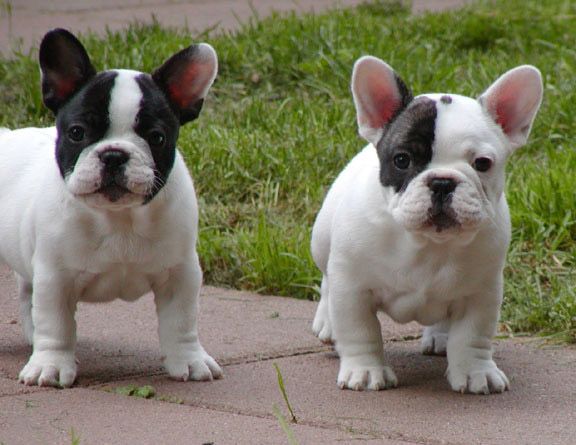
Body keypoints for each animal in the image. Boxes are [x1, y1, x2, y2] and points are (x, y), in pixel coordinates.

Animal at [0, 29, 223, 386]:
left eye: (157, 137)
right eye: (77, 132)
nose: (114, 154)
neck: (120, 218)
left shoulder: (181, 273)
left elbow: (182, 321)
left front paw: (190, 360)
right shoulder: (55, 276)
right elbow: (56, 324)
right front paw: (51, 364)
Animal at [312, 55, 544, 392]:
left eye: (483, 164)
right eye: (402, 160)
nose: (442, 182)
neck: (429, 243)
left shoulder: (482, 292)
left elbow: (472, 336)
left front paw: (475, 372)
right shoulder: (353, 287)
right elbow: (360, 330)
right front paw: (366, 371)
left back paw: (440, 337)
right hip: (321, 241)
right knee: (327, 280)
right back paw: (327, 323)